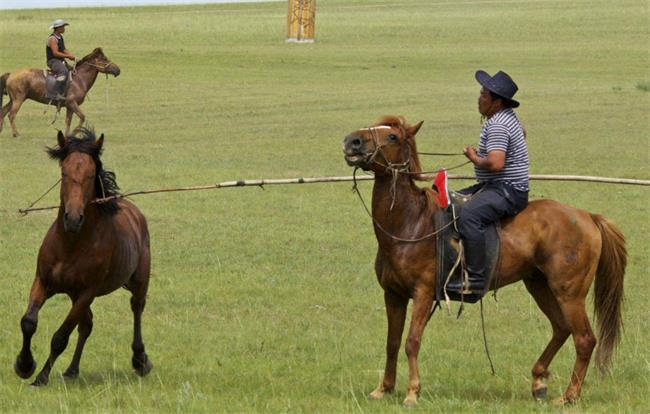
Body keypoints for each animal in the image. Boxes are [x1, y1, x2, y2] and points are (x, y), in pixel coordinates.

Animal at [15, 128, 153, 386]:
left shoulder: (88, 292)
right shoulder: (43, 281)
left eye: (90, 175)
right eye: (64, 172)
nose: (72, 218)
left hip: (138, 281)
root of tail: (135, 214)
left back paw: (140, 360)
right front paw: (24, 365)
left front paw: (41, 377)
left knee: (137, 308)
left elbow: (60, 337)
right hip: (73, 294)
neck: (71, 245)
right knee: (87, 325)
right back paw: (71, 370)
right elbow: (28, 322)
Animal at [342, 115, 624, 406]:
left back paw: (569, 396)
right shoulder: (393, 294)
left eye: (392, 137)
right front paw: (384, 388)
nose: (352, 141)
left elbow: (412, 341)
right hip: (539, 285)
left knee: (584, 338)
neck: (411, 222)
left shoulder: (423, 293)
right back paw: (538, 381)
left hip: (569, 293)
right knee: (561, 328)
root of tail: (587, 217)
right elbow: (392, 342)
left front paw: (412, 392)